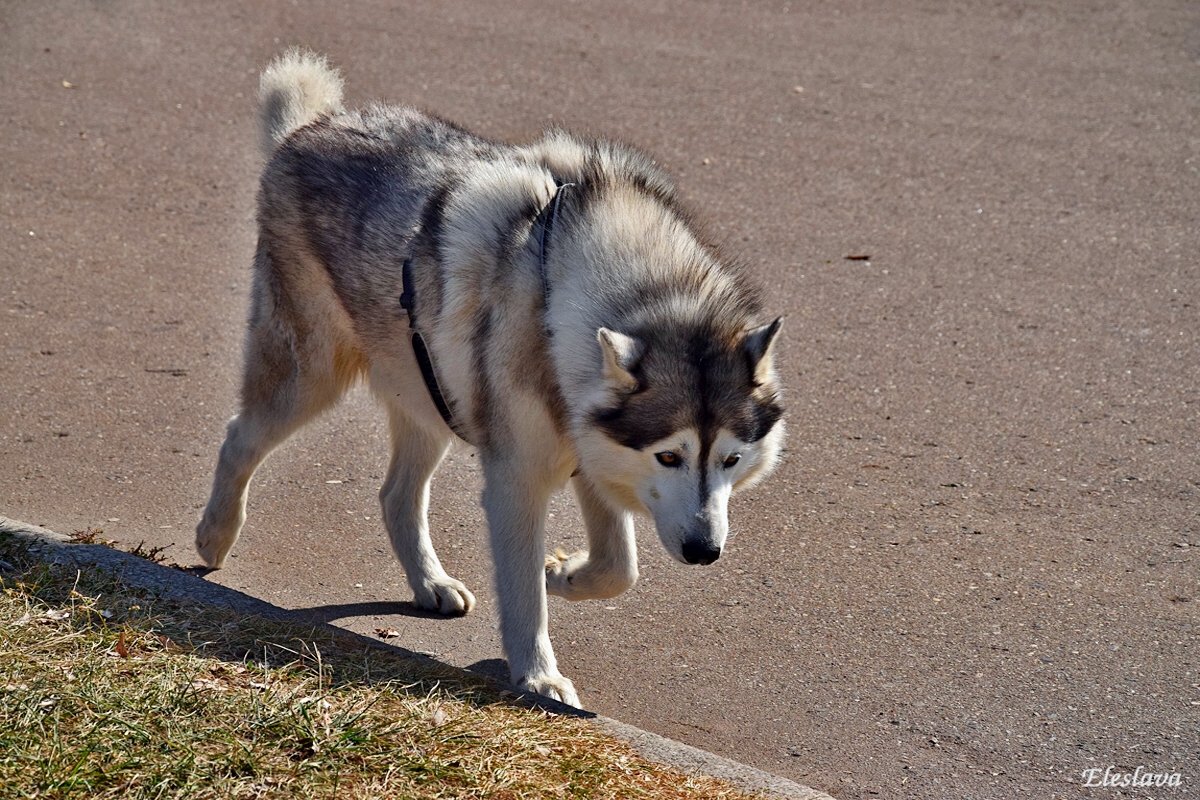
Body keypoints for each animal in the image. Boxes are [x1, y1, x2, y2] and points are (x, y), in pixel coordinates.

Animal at [198, 50, 787, 705]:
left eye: (731, 460)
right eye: (669, 457)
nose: (705, 552)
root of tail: (311, 125)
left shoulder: (589, 447)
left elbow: (618, 568)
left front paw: (563, 573)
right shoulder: (518, 479)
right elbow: (525, 591)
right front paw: (538, 674)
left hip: (428, 397)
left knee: (395, 495)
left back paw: (430, 583)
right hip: (310, 378)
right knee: (239, 435)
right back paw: (215, 536)